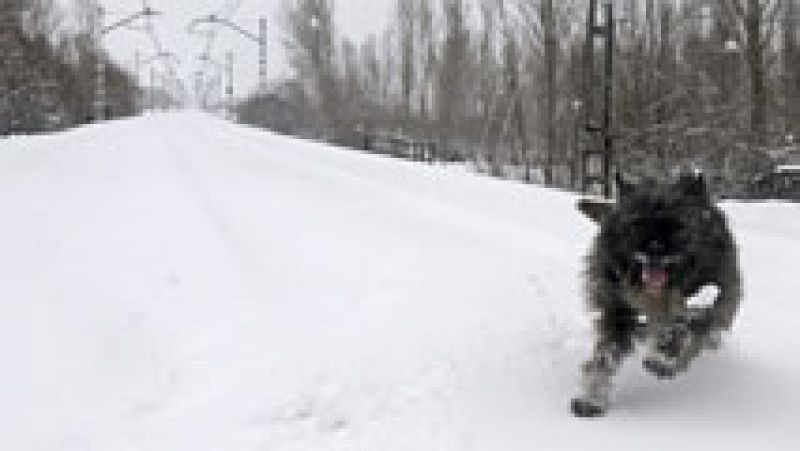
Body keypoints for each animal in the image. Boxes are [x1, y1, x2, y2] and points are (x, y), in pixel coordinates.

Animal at [572, 172, 740, 416]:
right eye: (637, 223)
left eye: (678, 225)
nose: (654, 249)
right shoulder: (617, 312)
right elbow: (605, 355)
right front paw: (592, 398)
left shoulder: (714, 298)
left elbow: (685, 323)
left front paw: (663, 356)